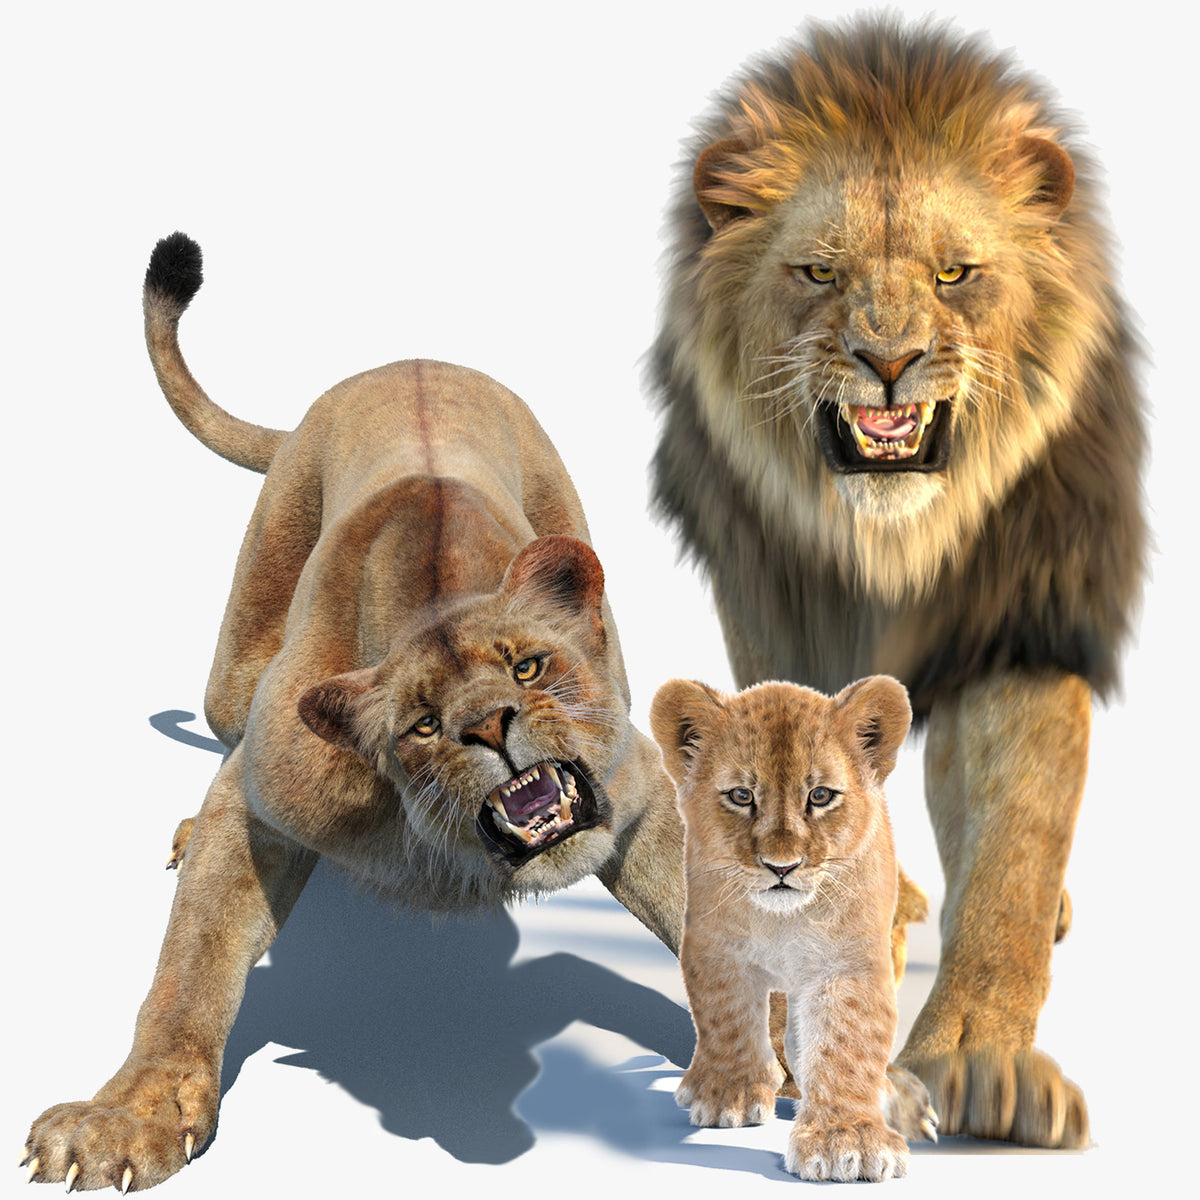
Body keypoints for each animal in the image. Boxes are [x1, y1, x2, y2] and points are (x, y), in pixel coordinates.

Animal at [19, 233, 685, 1192]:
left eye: (527, 666)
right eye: (423, 723)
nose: (491, 725)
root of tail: (402, 361)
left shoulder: (637, 792)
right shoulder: (262, 794)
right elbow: (189, 968)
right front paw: (125, 1119)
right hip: (236, 667)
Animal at [651, 675, 938, 1181]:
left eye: (820, 796)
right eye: (742, 796)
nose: (780, 867)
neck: (783, 922)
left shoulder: (848, 963)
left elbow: (847, 1042)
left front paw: (848, 1141)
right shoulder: (715, 946)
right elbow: (726, 1017)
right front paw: (730, 1095)